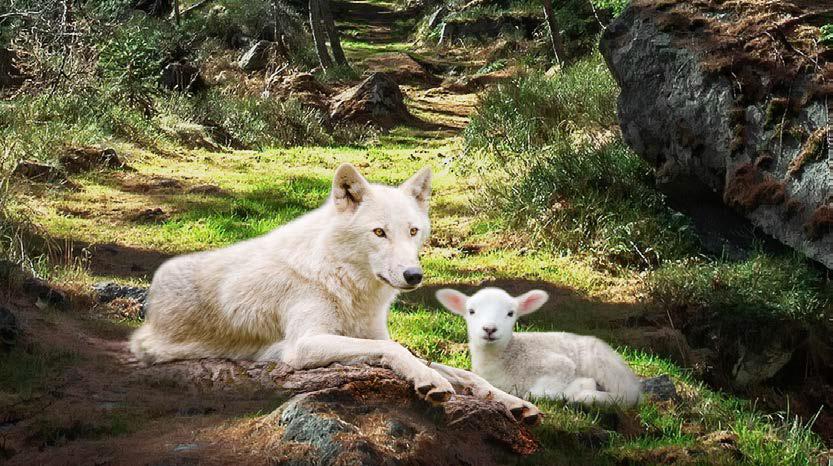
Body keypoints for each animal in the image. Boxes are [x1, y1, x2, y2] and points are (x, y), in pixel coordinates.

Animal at [127, 165, 536, 422]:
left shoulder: (370, 333)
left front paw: (514, 404)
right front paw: (430, 381)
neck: (344, 282)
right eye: (379, 232)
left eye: (413, 231)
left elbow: (463, 373)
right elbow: (398, 351)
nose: (414, 275)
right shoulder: (303, 346)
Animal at [436, 288, 644, 408]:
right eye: (471, 311)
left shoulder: (559, 364)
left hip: (606, 368)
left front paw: (577, 388)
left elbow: (534, 393)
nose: (489, 329)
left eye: (511, 313)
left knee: (626, 397)